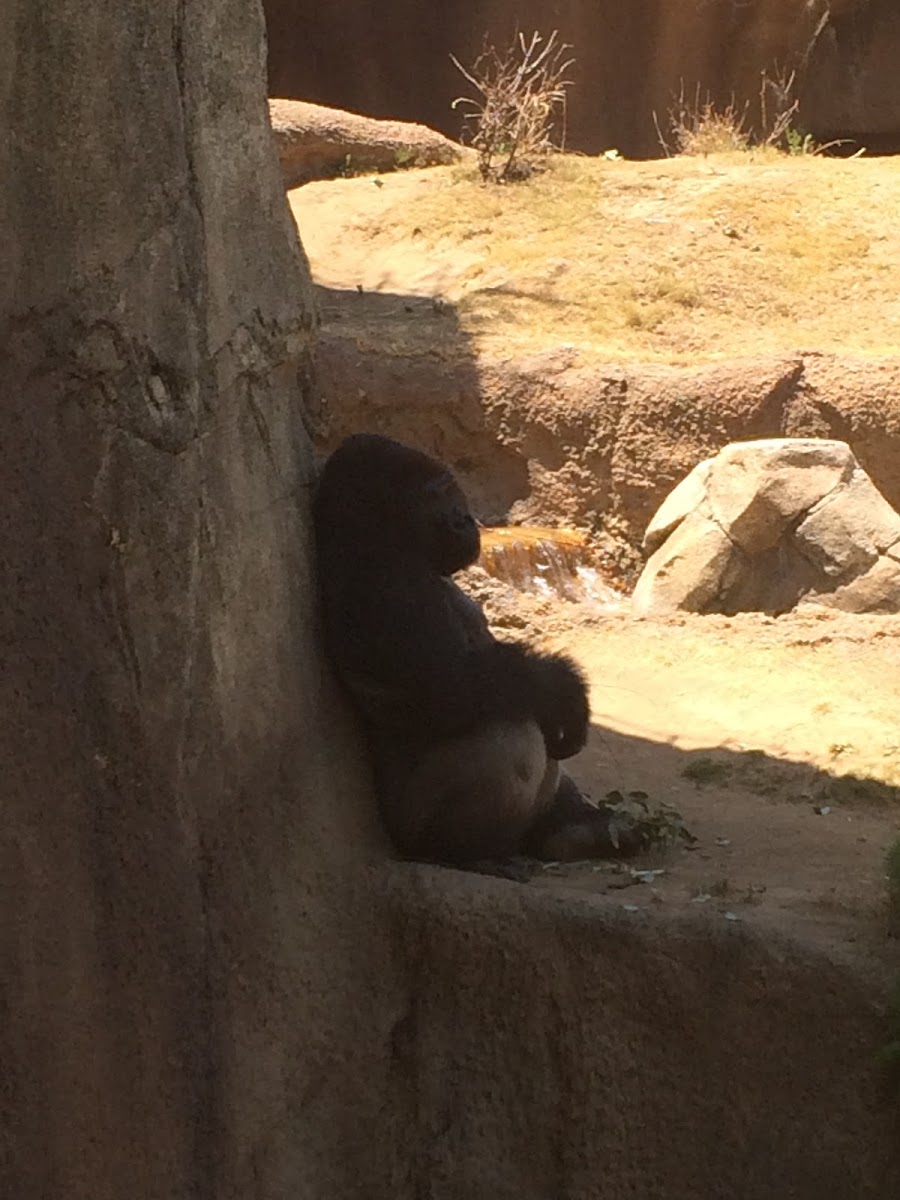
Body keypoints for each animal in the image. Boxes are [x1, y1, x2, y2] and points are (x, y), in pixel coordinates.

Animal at [314, 436, 643, 868]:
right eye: (440, 495)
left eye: (453, 491)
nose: (464, 520)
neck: (376, 543)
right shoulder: (390, 588)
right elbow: (452, 687)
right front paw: (567, 686)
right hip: (410, 830)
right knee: (508, 729)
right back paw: (467, 853)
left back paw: (570, 830)